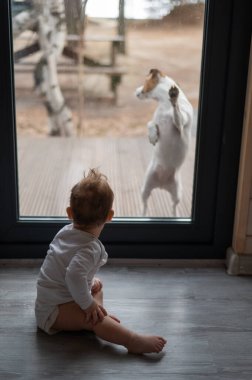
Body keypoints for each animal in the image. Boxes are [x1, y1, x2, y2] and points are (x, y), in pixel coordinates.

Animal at [136, 68, 193, 217]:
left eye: (145, 81)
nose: (136, 91)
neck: (164, 104)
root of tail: (162, 185)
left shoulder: (180, 124)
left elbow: (176, 113)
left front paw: (174, 98)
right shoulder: (155, 121)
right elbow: (150, 123)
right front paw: (152, 135)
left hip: (177, 193)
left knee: (174, 207)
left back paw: (175, 216)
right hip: (145, 188)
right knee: (145, 205)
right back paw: (142, 215)